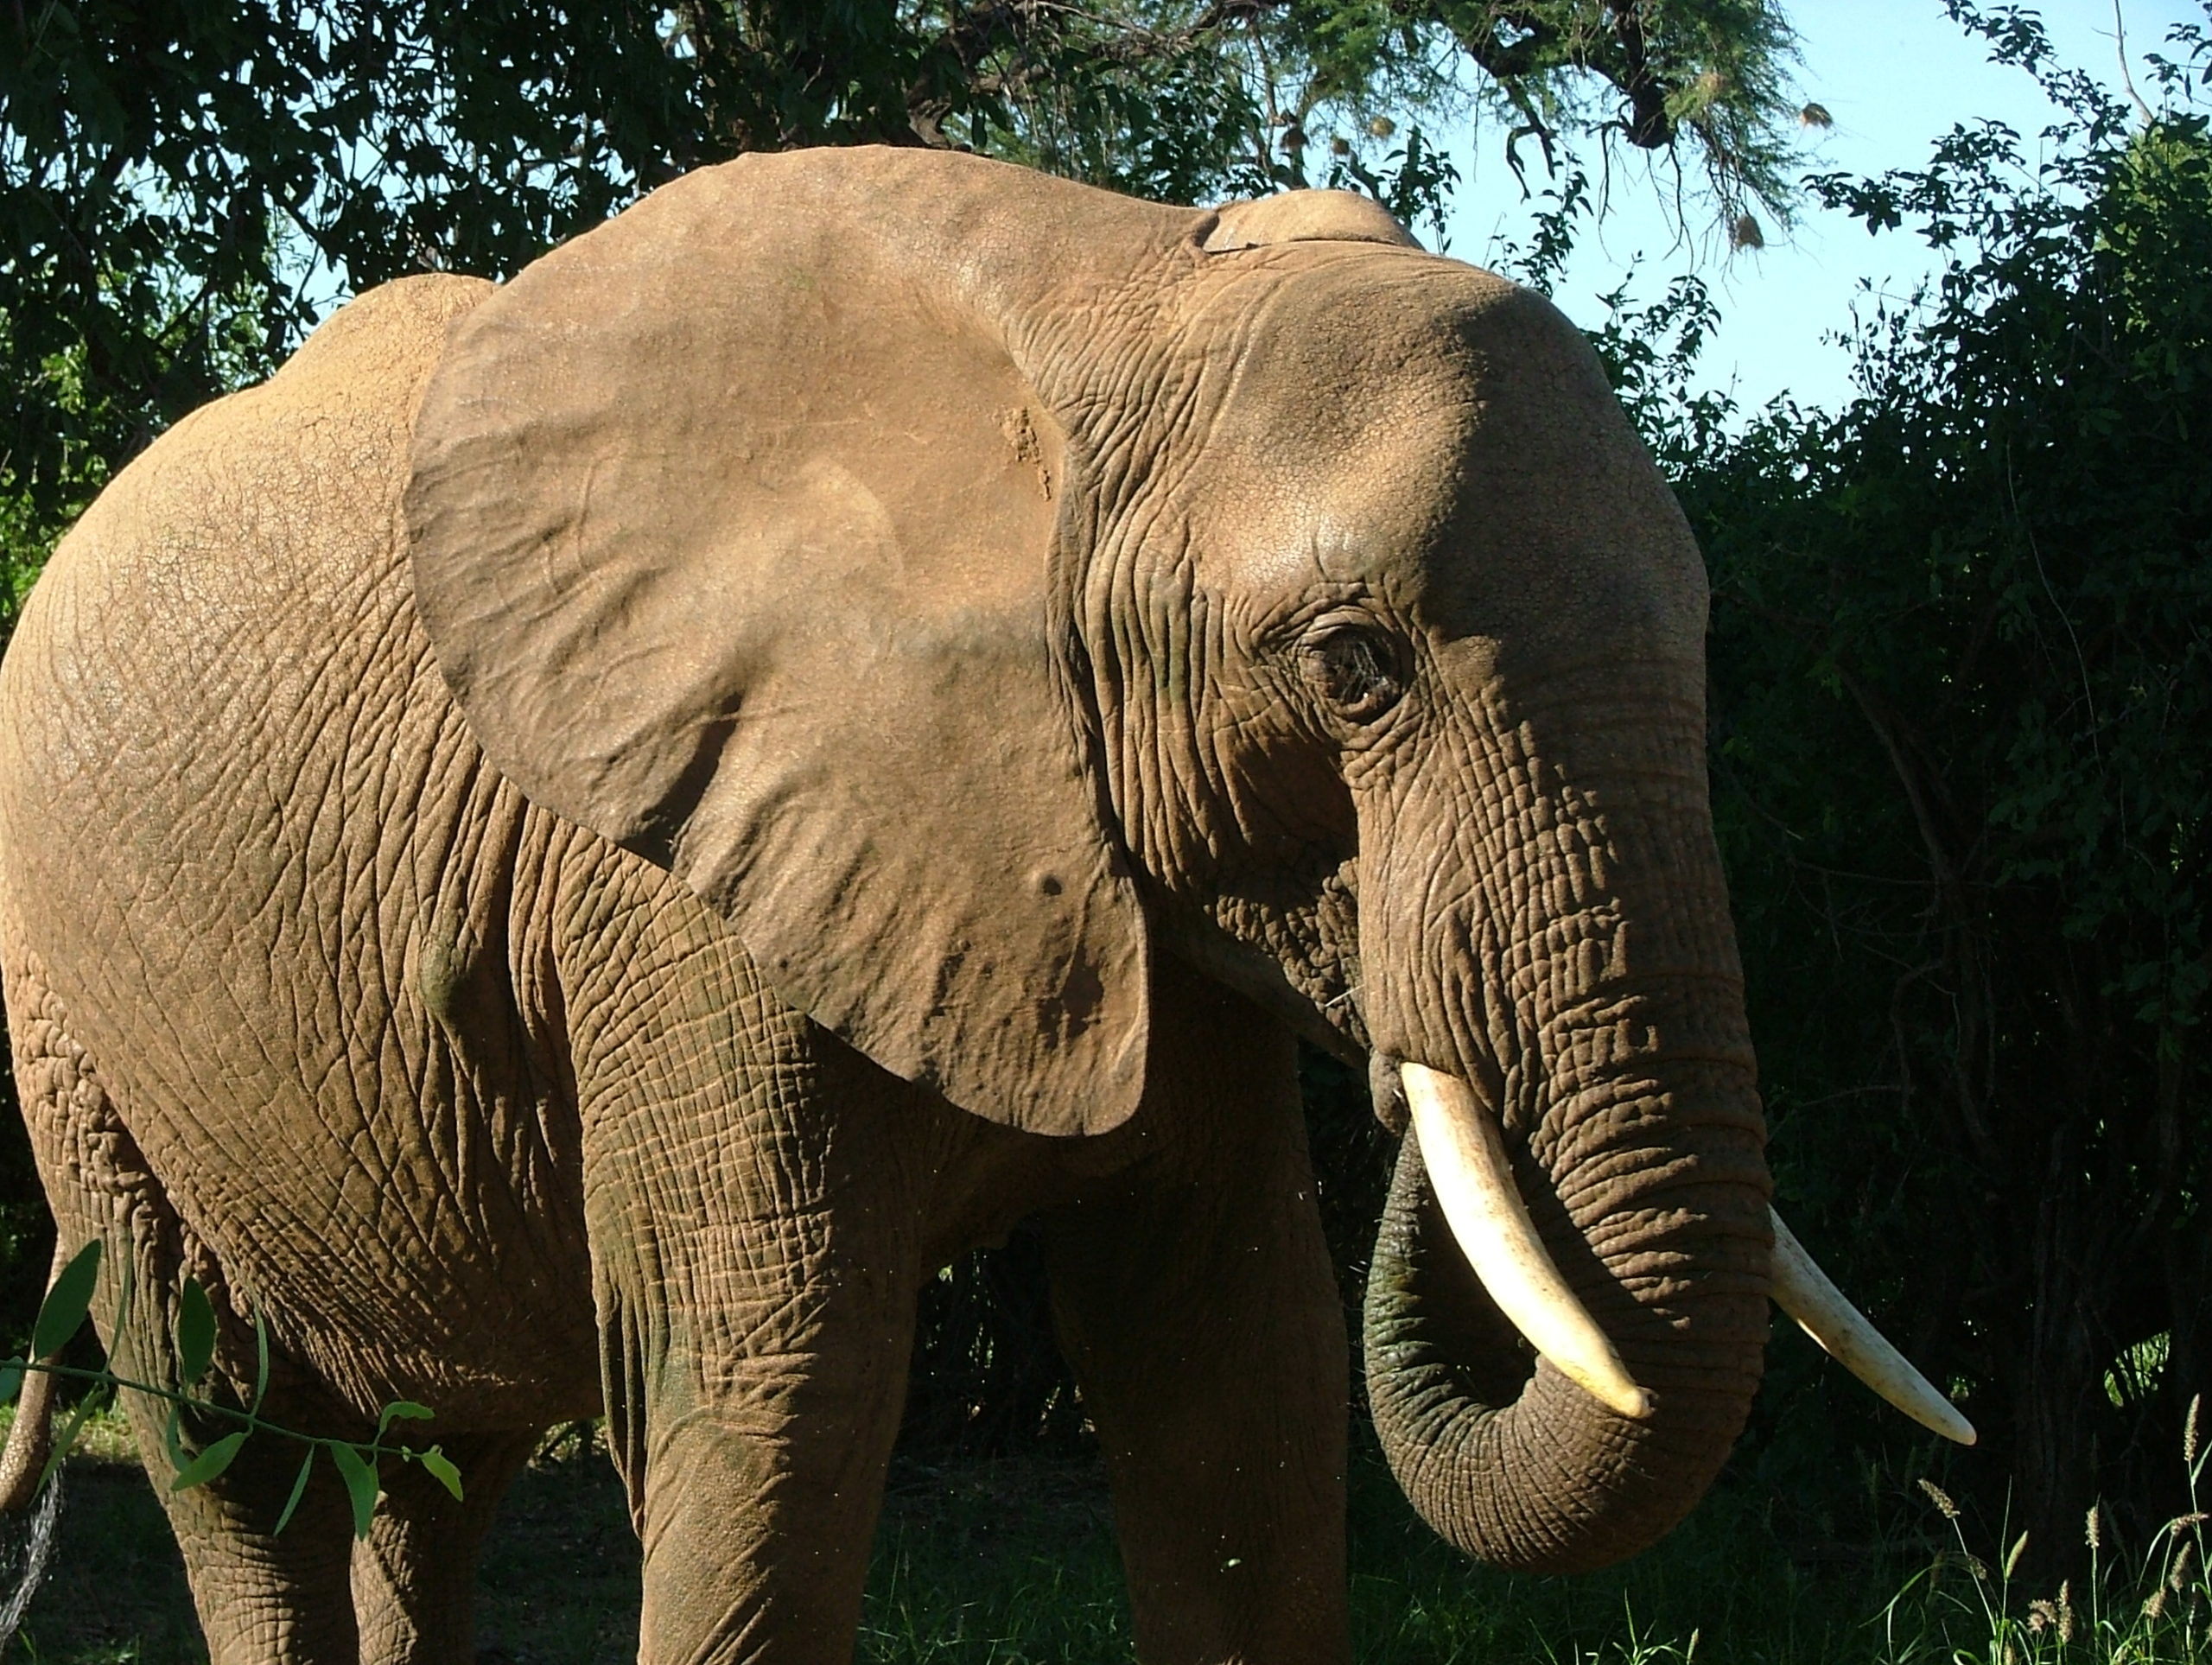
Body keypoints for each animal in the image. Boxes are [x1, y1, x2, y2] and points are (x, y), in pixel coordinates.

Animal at [0, 146, 1968, 1664]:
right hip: (67, 1027)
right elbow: (780, 1397)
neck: (1121, 318)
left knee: (434, 1473)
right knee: (226, 1447)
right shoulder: (678, 886)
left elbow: (1238, 1372)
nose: (1410, 1037)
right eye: (1353, 668)